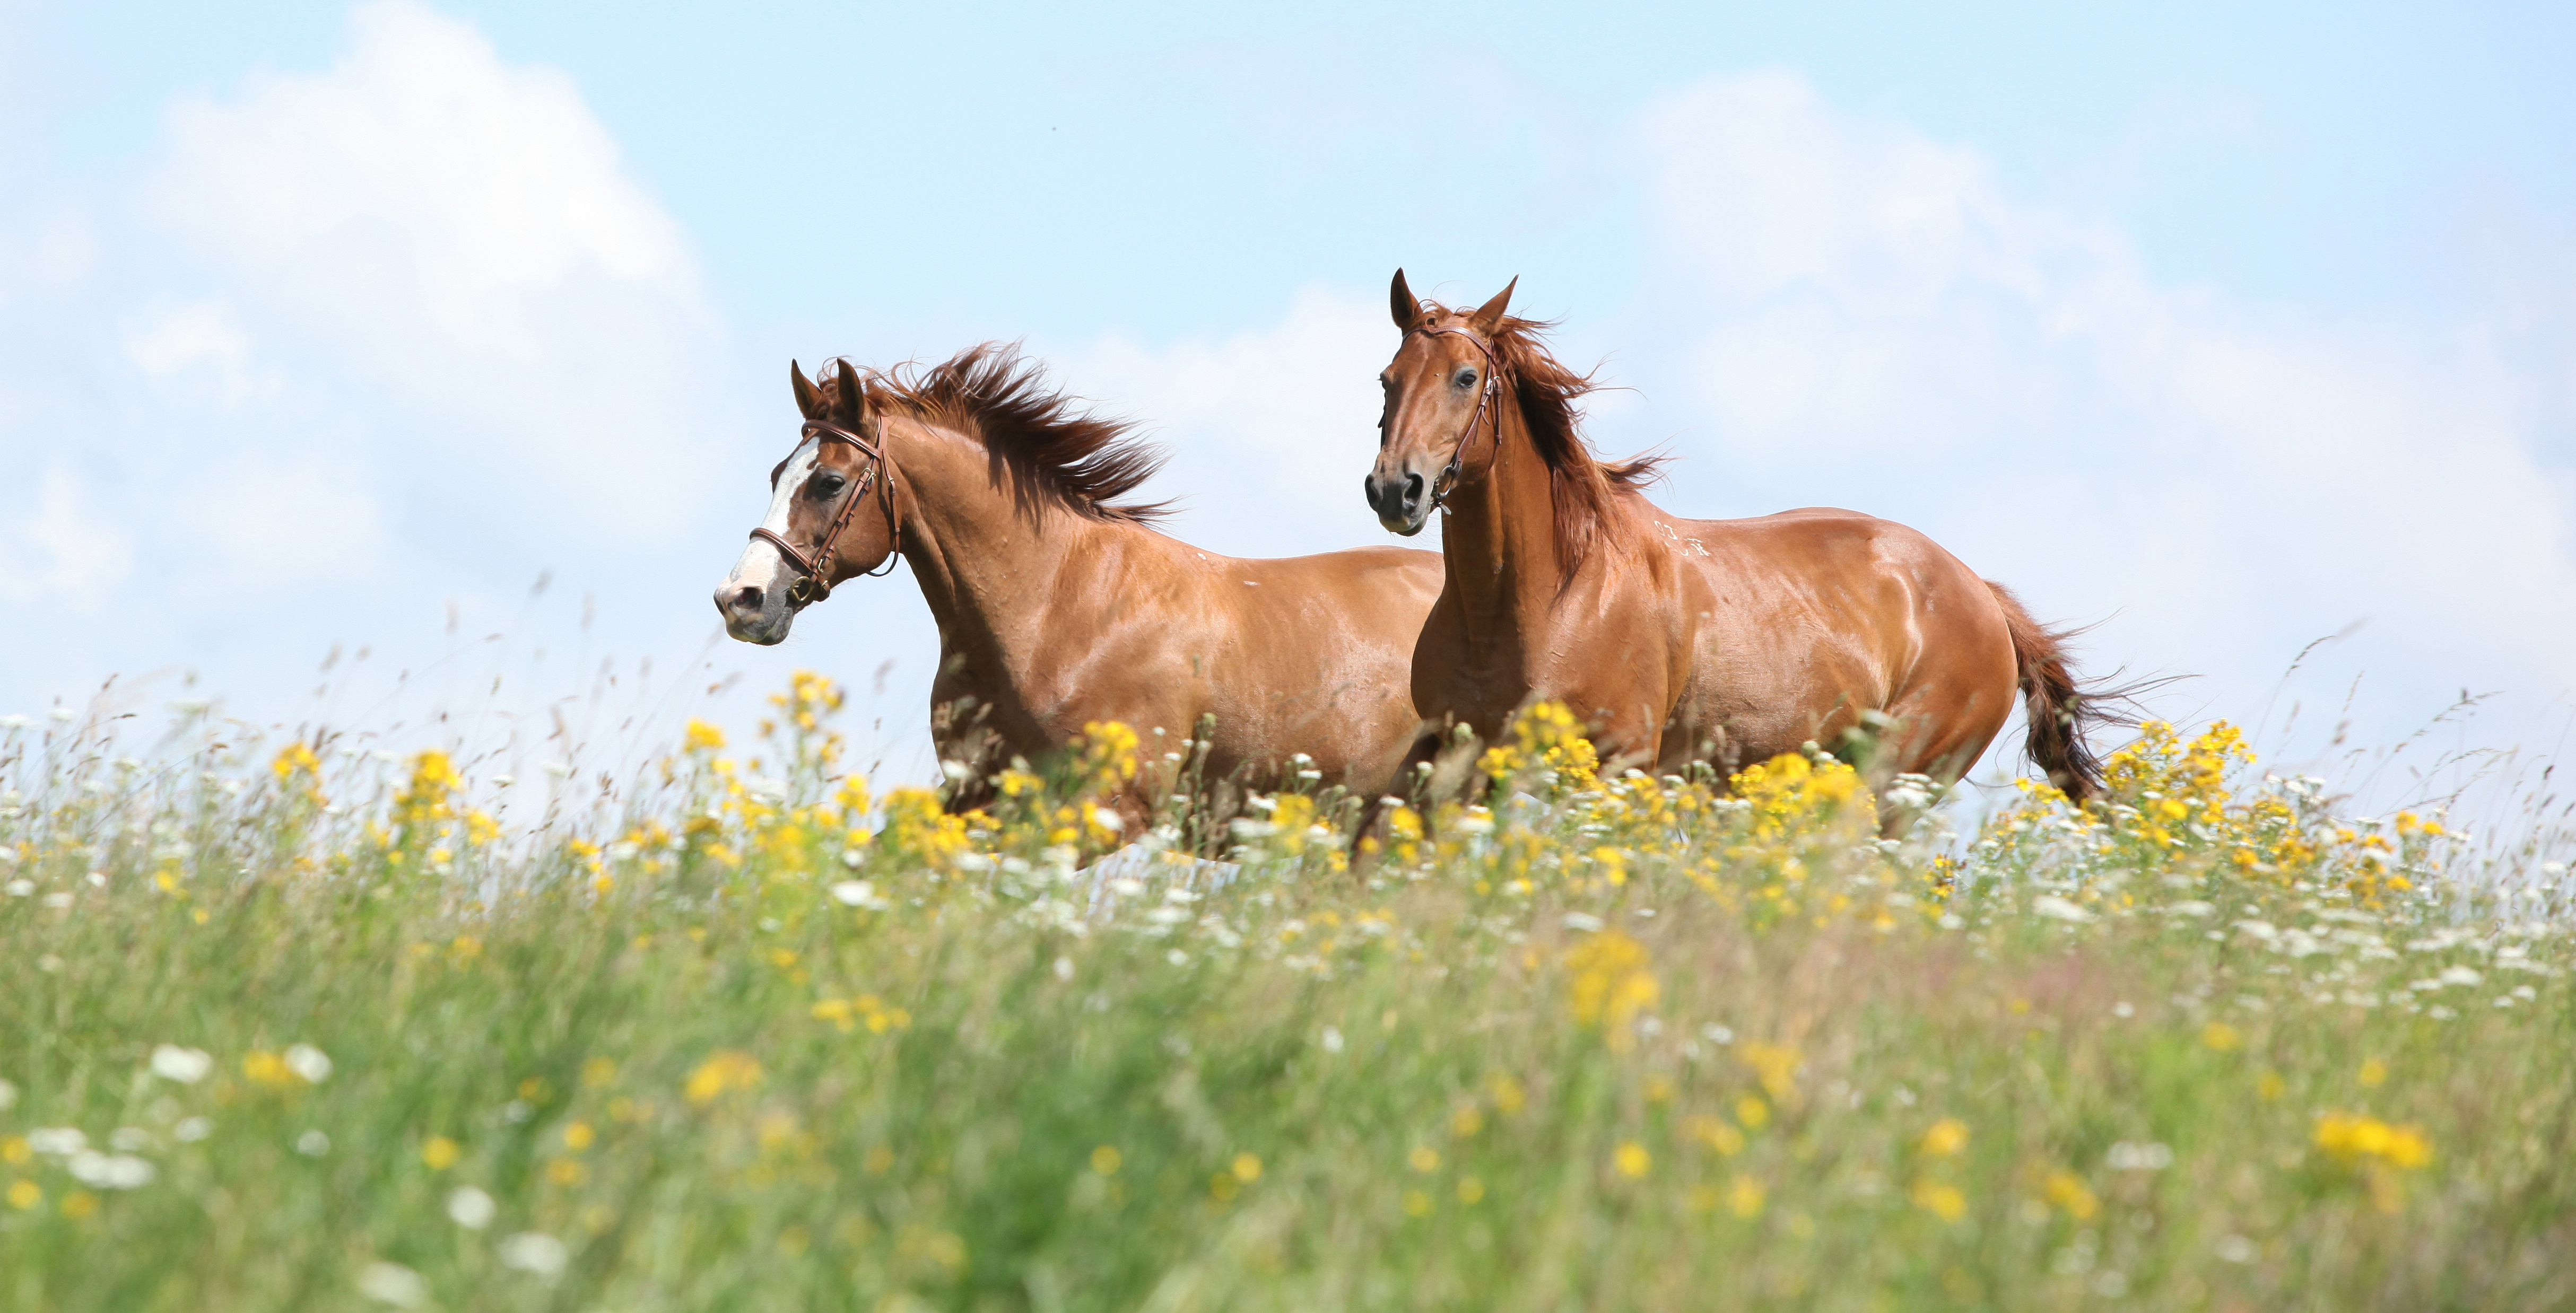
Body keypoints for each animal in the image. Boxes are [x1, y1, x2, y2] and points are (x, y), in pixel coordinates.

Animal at [716, 353, 1452, 813]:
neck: (1055, 611)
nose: (739, 600)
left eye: (828, 481)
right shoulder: (974, 794)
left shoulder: (1109, 810)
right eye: (778, 473)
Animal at [1360, 274, 2102, 798]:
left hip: (1900, 778)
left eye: (1465, 378)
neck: (1539, 598)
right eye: (1387, 379)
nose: (1396, 489)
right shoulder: (1444, 751)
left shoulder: (1618, 758)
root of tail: (1981, 593)